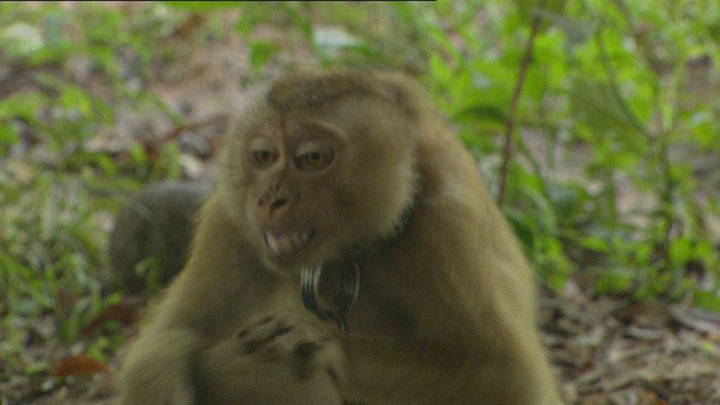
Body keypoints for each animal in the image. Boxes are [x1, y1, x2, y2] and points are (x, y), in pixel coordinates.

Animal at [116, 70, 562, 405]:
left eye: (314, 158)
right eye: (264, 156)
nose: (269, 200)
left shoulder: (447, 225)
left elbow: (509, 379)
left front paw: (327, 343)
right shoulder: (230, 218)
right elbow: (171, 338)